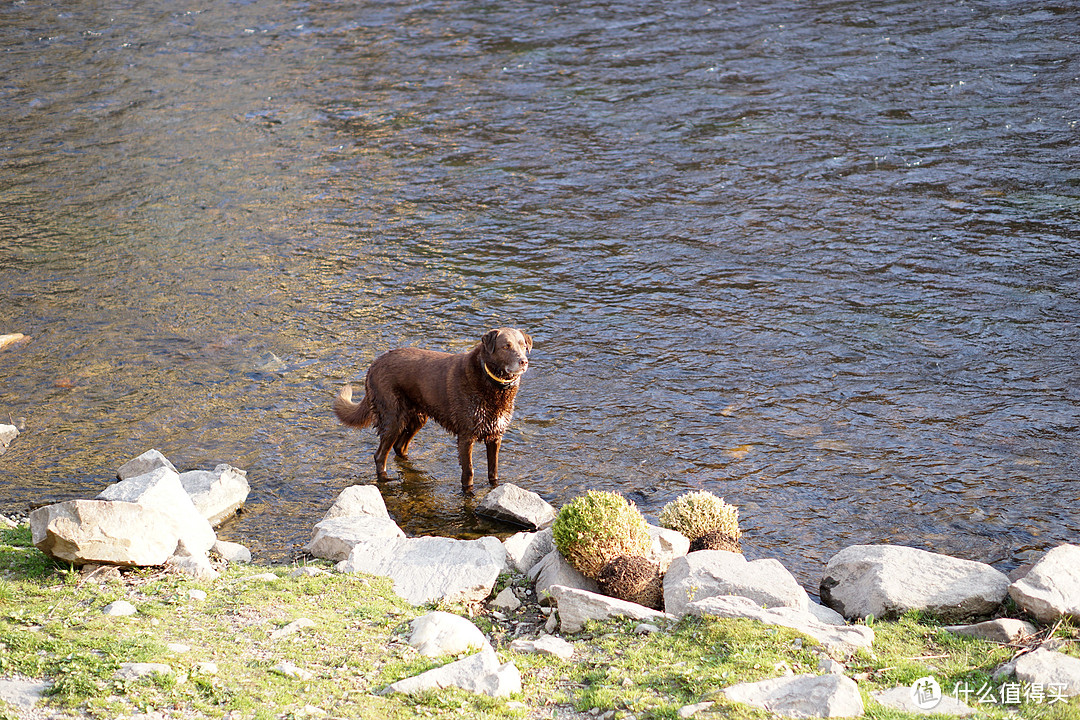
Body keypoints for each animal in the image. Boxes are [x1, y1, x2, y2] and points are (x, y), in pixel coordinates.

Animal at [328, 330, 531, 492]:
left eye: (523, 345)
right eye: (506, 346)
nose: (524, 361)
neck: (491, 382)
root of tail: (374, 364)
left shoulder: (496, 435)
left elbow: (493, 471)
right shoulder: (466, 437)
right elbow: (469, 472)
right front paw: (468, 493)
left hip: (418, 418)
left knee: (399, 447)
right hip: (393, 418)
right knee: (380, 455)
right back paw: (385, 479)